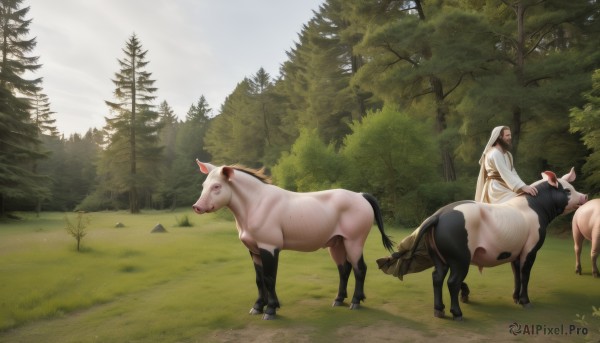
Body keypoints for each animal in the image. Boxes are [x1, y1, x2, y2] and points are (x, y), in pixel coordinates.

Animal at [384, 169, 584, 320]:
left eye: (573, 187)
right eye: (567, 190)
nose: (584, 195)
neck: (535, 207)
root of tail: (438, 215)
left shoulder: (515, 251)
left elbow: (516, 274)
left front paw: (515, 299)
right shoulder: (530, 248)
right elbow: (525, 274)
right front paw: (526, 302)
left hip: (438, 255)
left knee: (437, 277)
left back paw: (439, 311)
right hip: (459, 257)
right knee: (452, 281)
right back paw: (457, 313)